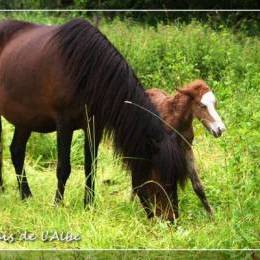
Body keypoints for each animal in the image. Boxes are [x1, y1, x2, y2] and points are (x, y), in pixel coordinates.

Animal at [0, 19, 188, 220]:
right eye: (162, 179)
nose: (172, 219)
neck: (85, 70)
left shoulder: (94, 126)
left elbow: (91, 167)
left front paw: (89, 206)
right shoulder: (64, 123)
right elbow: (63, 167)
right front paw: (58, 205)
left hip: (25, 119)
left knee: (17, 151)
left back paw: (26, 196)